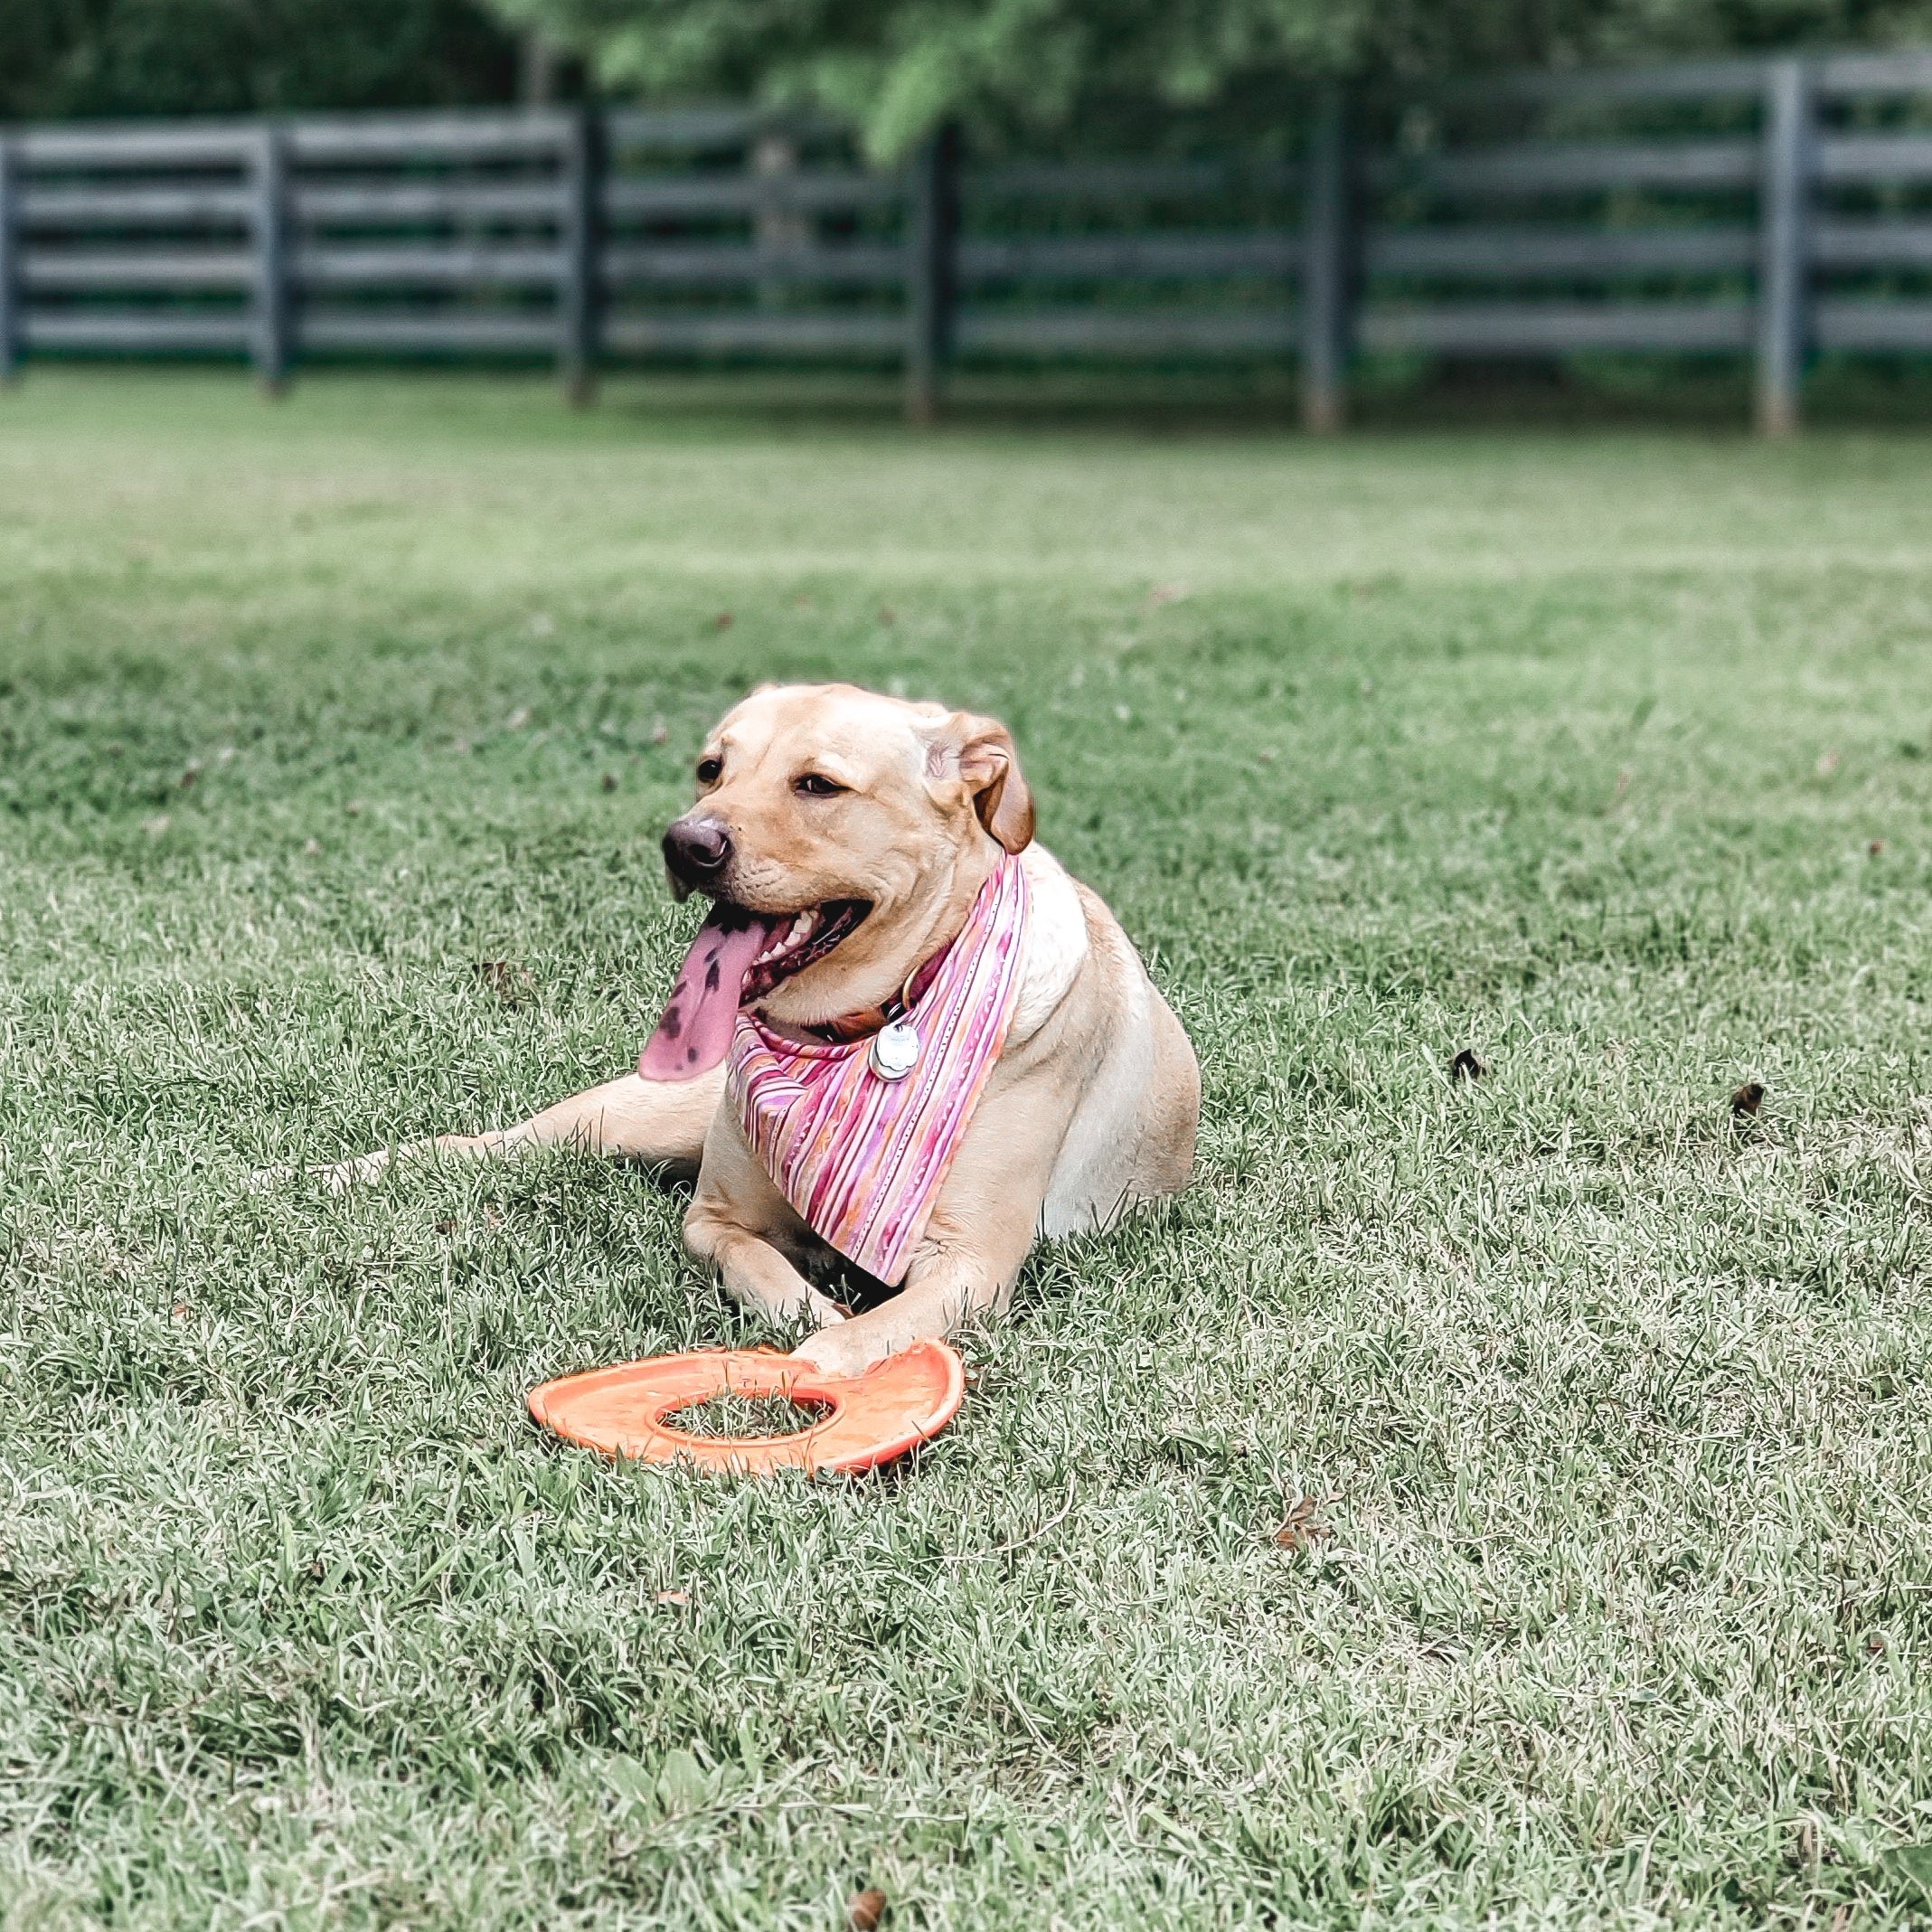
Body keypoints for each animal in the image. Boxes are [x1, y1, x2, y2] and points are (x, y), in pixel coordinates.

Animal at [320, 680, 1190, 1375]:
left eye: (818, 785)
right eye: (712, 768)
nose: (686, 842)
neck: (860, 1029)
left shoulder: (970, 1263)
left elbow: (846, 1345)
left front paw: (821, 1362)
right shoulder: (714, 1219)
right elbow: (757, 1264)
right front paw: (803, 1307)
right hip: (630, 1117)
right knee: (489, 1143)